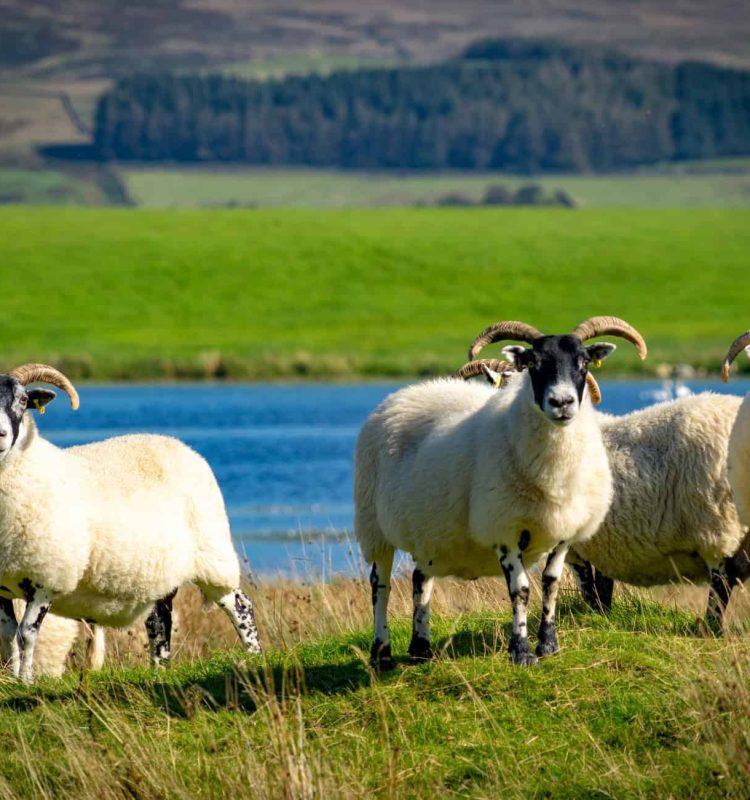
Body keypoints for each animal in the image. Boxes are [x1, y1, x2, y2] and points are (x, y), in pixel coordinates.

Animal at [0, 363, 261, 682]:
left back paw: (254, 656)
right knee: (159, 621)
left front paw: (25, 682)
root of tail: (181, 445)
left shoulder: (47, 578)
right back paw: (159, 670)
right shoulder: (3, 588)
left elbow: (26, 634)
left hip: (212, 556)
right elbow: (8, 635)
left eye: (24, 401)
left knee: (240, 605)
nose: (0, 435)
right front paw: (13, 678)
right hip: (160, 575)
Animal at [355, 316, 647, 668]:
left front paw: (549, 646)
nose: (562, 403)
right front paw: (521, 652)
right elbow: (520, 590)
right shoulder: (504, 528)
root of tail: (405, 393)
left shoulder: (565, 531)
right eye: (533, 363)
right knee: (380, 585)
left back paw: (421, 649)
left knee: (419, 579)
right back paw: (381, 653)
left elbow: (550, 584)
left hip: (429, 532)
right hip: (373, 526)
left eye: (583, 362)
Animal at [459, 351, 749, 632]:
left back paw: (711, 628)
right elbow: (602, 593)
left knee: (720, 584)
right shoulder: (601, 547)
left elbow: (591, 592)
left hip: (716, 526)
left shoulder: (578, 546)